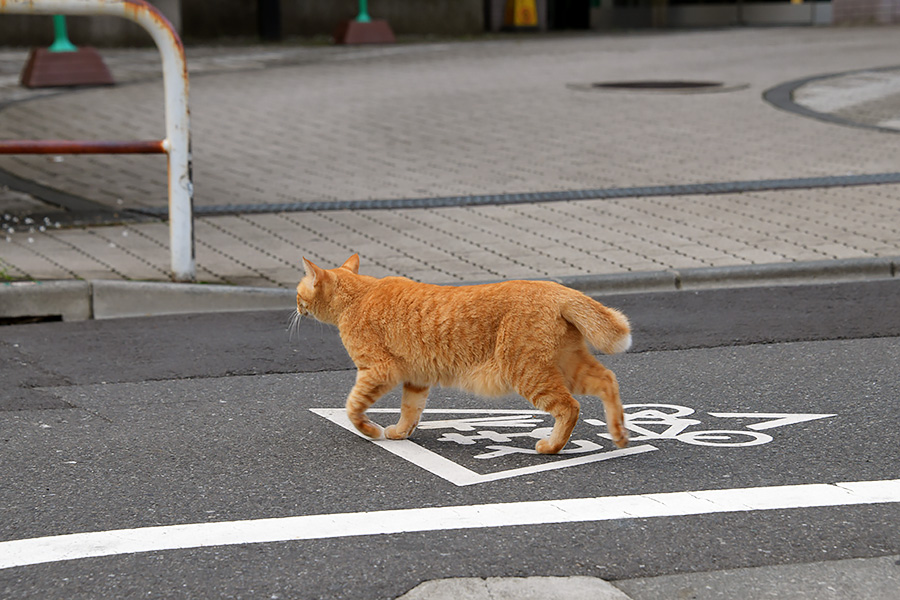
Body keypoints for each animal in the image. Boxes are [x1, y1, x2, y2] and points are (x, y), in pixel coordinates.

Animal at [298, 254, 628, 454]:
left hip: (528, 372)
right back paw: (619, 433)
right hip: (566, 364)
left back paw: (552, 446)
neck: (360, 294)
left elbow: (353, 407)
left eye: (299, 293)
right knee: (607, 379)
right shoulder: (416, 378)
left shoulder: (378, 371)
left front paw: (369, 430)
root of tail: (557, 289)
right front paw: (401, 433)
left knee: (569, 407)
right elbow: (410, 410)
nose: (297, 308)